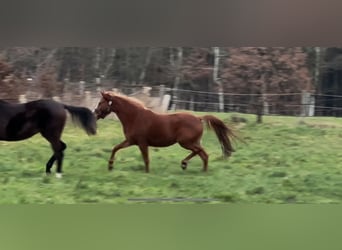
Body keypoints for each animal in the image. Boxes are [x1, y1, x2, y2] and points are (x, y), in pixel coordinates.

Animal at [93, 91, 238, 173]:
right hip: (193, 142)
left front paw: (147, 173)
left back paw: (185, 164)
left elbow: (146, 159)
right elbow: (115, 148)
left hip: (185, 142)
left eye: (100, 102)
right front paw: (110, 166)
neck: (134, 117)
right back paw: (202, 170)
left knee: (201, 152)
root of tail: (198, 118)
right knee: (204, 155)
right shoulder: (131, 141)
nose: (95, 114)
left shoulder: (142, 143)